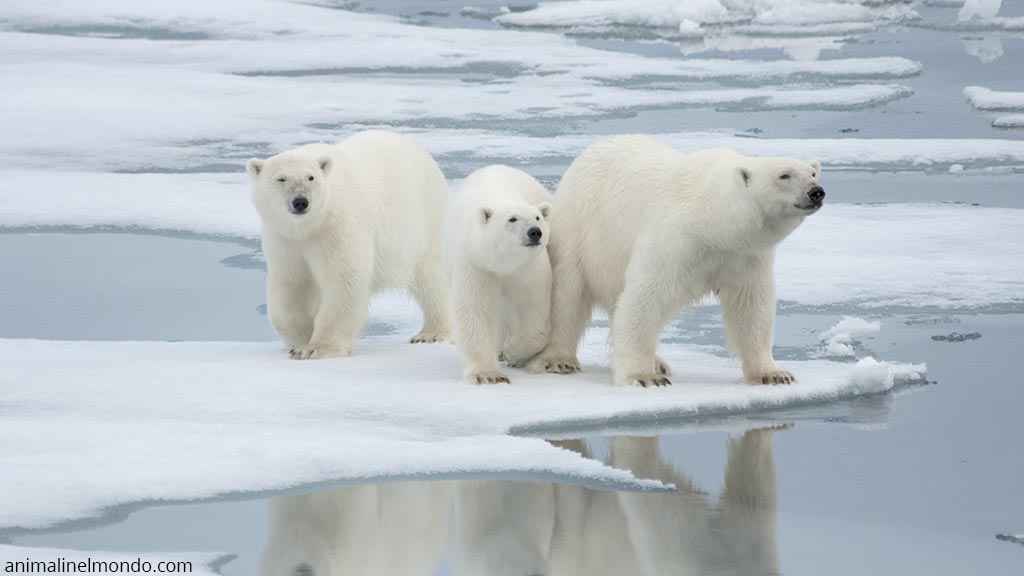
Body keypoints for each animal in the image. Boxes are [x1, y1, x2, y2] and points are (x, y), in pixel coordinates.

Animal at [246, 130, 450, 359]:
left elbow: (343, 279)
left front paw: (317, 347)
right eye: (281, 178)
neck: (309, 226)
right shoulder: (284, 239)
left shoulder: (339, 227)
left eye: (311, 177)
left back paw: (432, 333)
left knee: (430, 275)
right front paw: (302, 337)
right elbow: (291, 284)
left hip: (425, 219)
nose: (300, 201)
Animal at [443, 165, 553, 384]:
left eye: (537, 217)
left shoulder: (529, 269)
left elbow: (534, 311)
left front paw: (513, 352)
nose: (535, 232)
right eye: (512, 218)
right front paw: (487, 375)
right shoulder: (475, 264)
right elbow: (474, 310)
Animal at [530, 135, 824, 386]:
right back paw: (559, 360)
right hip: (581, 229)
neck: (715, 222)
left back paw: (658, 361)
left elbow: (751, 305)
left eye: (812, 173)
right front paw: (644, 377)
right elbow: (646, 295)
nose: (817, 192)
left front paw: (773, 374)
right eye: (784, 175)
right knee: (568, 294)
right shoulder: (675, 238)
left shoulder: (744, 255)